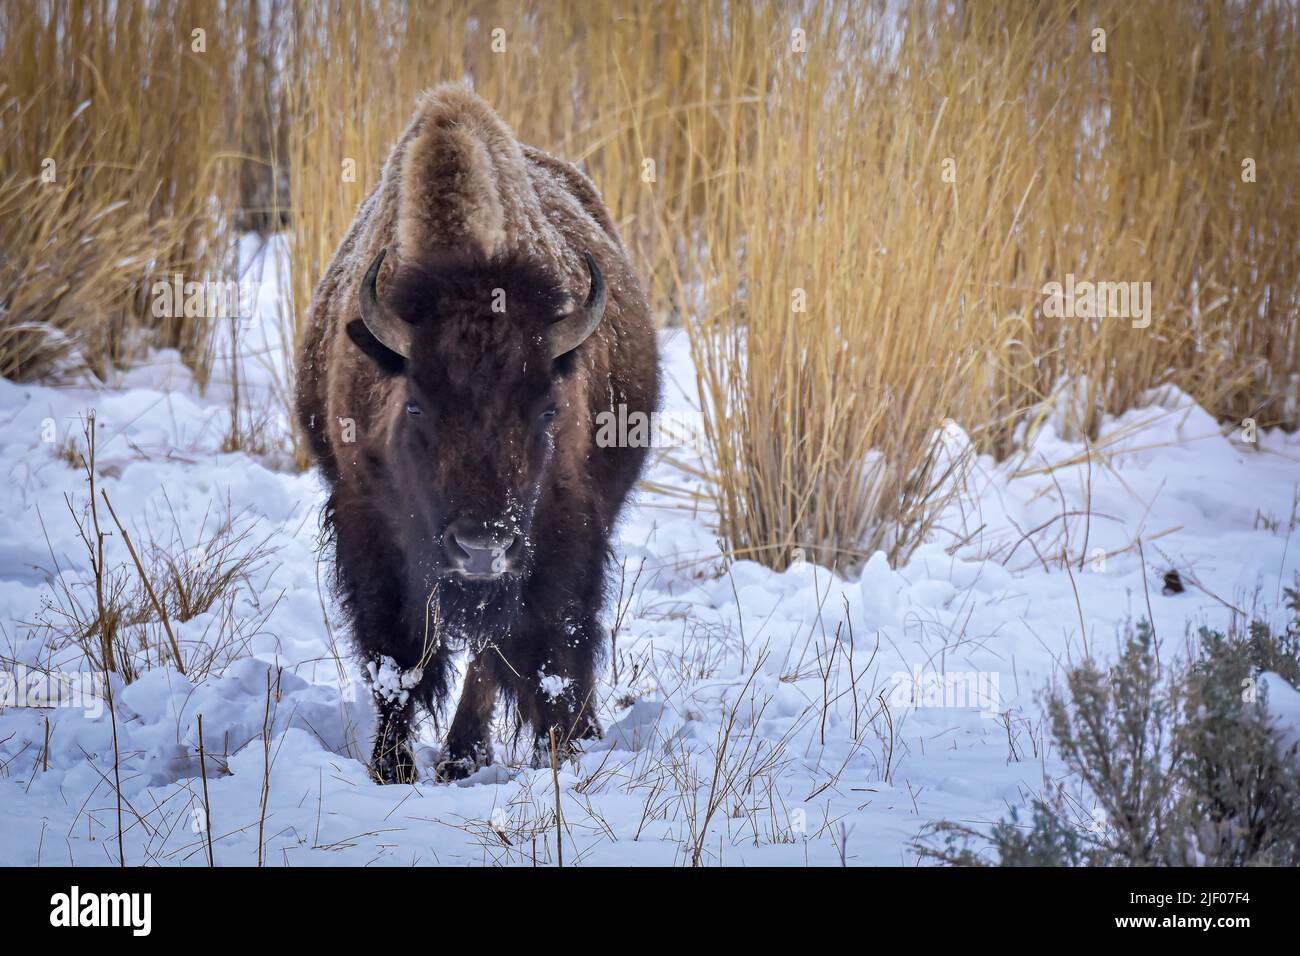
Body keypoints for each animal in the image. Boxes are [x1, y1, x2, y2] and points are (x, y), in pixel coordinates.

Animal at [295, 86, 660, 784]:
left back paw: (471, 754)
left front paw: (563, 747)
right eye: (416, 407)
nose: (481, 547)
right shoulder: (370, 527)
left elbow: (541, 649)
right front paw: (390, 768)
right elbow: (398, 661)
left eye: (546, 411)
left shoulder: (556, 529)